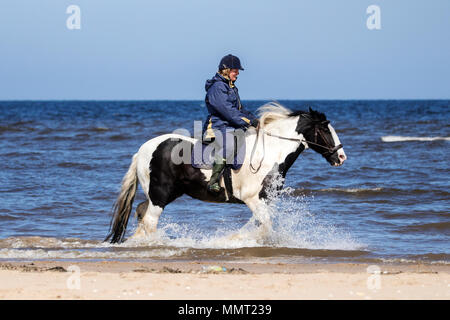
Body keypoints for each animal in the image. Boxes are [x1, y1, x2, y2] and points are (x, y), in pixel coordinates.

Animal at [106, 102, 348, 242]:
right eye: (324, 128)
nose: (341, 157)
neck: (269, 152)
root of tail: (142, 150)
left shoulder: (264, 201)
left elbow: (258, 223)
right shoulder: (252, 199)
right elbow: (265, 224)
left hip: (164, 193)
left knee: (141, 212)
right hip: (160, 194)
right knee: (150, 220)